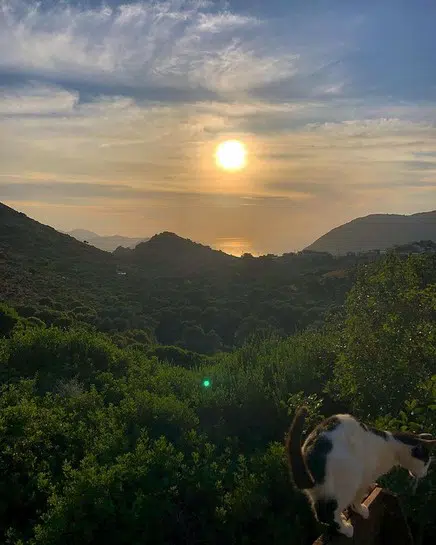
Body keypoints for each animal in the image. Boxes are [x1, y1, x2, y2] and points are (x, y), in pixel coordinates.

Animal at [286, 404, 436, 536]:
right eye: (426, 462)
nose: (424, 474)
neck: (391, 445)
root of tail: (312, 450)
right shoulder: (365, 477)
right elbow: (358, 498)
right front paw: (361, 510)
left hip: (319, 491)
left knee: (322, 509)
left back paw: (341, 518)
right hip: (350, 478)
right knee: (326, 513)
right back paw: (345, 529)